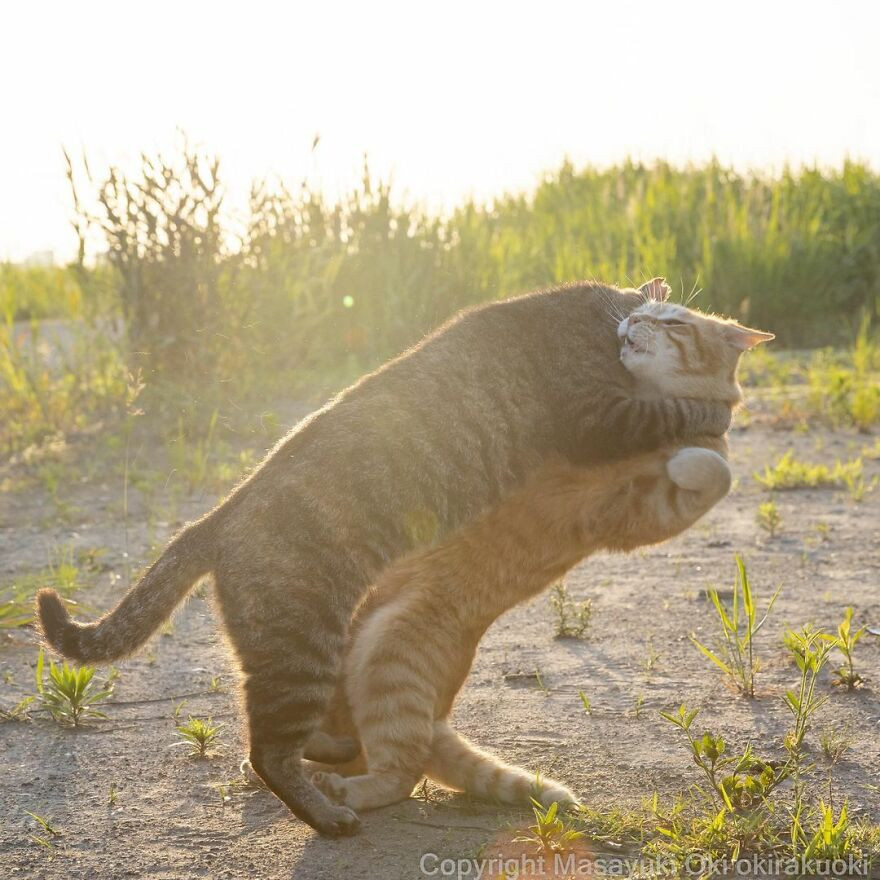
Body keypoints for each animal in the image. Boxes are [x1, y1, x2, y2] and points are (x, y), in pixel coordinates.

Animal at [37, 278, 732, 836]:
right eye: (666, 319)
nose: (638, 327)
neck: (595, 310)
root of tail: (219, 516)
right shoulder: (596, 414)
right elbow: (679, 411)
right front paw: (717, 407)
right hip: (304, 648)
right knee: (272, 751)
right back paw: (328, 816)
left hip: (297, 657)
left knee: (280, 734)